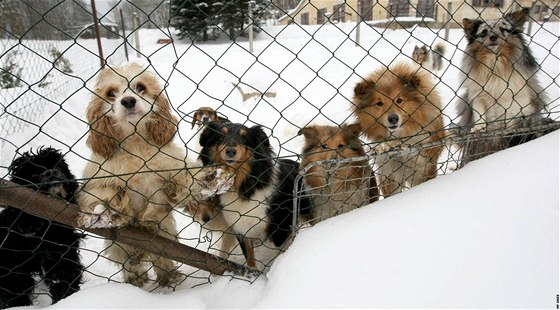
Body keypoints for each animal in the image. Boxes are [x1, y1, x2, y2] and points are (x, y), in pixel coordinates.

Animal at [0, 148, 83, 308]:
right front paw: (18, 307)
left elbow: (65, 279)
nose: (51, 171)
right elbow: (14, 289)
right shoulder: (14, 266)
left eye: (58, 166)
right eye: (33, 174)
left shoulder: (61, 255)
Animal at [75, 63, 231, 288]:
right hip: (120, 245)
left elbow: (181, 182)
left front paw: (208, 178)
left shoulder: (167, 175)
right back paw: (135, 278)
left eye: (140, 87)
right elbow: (104, 192)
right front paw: (104, 209)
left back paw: (169, 277)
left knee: (161, 258)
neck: (135, 143)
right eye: (111, 93)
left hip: (163, 236)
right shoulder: (100, 177)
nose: (128, 100)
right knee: (128, 262)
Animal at [198, 121, 312, 268]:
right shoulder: (240, 225)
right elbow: (249, 257)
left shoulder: (281, 223)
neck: (242, 185)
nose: (230, 151)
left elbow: (282, 251)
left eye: (244, 138)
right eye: (221, 136)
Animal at [352, 62, 444, 197]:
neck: (398, 135)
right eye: (379, 103)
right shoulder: (387, 174)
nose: (393, 119)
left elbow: (416, 153)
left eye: (399, 100)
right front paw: (383, 146)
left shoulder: (427, 159)